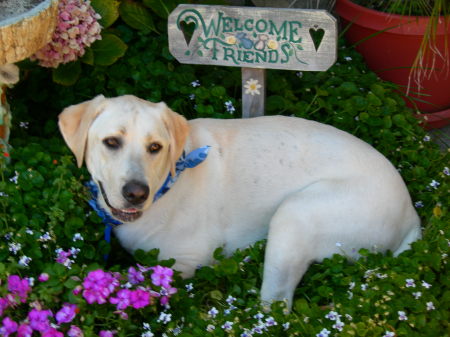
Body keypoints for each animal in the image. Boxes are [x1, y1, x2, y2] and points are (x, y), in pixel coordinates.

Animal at [58, 94, 420, 308]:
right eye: (111, 142)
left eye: (155, 147)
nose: (136, 192)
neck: (167, 184)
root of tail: (411, 216)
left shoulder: (182, 264)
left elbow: (125, 280)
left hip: (295, 215)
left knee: (276, 309)